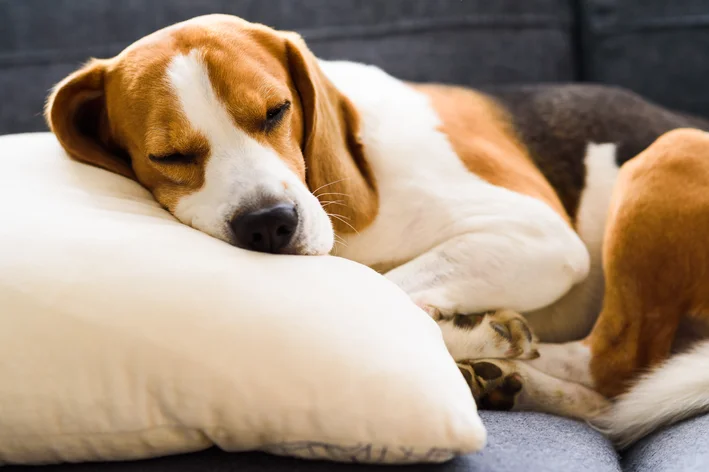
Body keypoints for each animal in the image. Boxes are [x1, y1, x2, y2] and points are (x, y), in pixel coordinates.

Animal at [47, 14, 708, 448]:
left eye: (277, 111)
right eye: (170, 156)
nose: (270, 225)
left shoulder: (539, 236)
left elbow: (388, 289)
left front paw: (477, 333)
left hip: (668, 151)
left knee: (616, 367)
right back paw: (505, 378)